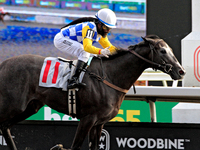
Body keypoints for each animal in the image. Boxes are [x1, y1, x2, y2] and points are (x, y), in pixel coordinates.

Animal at [0, 34, 185, 149]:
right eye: (163, 51)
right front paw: (57, 147)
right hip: (12, 105)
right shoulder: (88, 118)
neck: (110, 76)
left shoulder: (99, 123)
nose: (181, 71)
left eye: (170, 50)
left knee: (5, 127)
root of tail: (3, 64)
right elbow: (74, 146)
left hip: (30, 107)